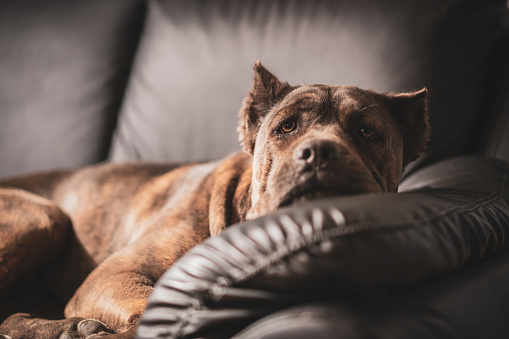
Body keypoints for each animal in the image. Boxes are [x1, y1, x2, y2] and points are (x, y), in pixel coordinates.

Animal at [0, 62, 428, 338]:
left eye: (368, 132)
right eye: (286, 127)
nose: (320, 151)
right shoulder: (113, 275)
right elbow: (153, 306)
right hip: (44, 217)